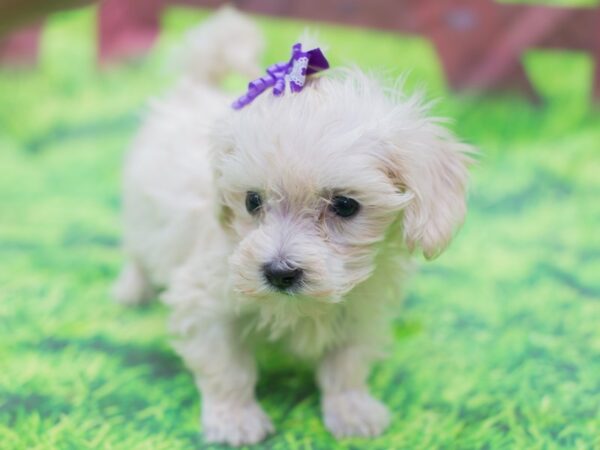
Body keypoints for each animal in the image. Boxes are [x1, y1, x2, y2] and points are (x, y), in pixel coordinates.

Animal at [113, 7, 474, 446]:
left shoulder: (360, 308)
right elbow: (226, 367)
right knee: (136, 250)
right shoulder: (206, 299)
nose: (278, 272)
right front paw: (234, 418)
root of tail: (195, 87)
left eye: (345, 205)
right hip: (140, 212)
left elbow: (347, 363)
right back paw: (132, 288)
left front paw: (352, 409)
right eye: (252, 201)